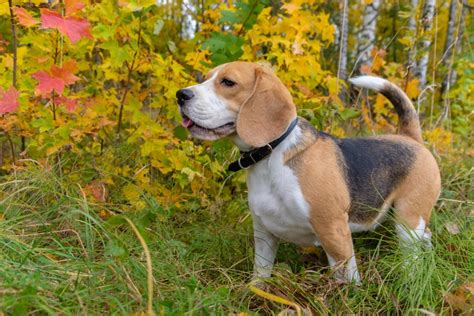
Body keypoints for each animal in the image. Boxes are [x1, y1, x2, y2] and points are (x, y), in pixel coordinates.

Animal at [177, 61, 440, 282]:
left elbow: (348, 281)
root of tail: (410, 137)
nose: (181, 95)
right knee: (426, 237)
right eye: (206, 78)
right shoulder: (264, 233)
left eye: (228, 82)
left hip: (407, 220)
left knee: (412, 251)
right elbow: (260, 274)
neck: (271, 156)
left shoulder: (334, 231)